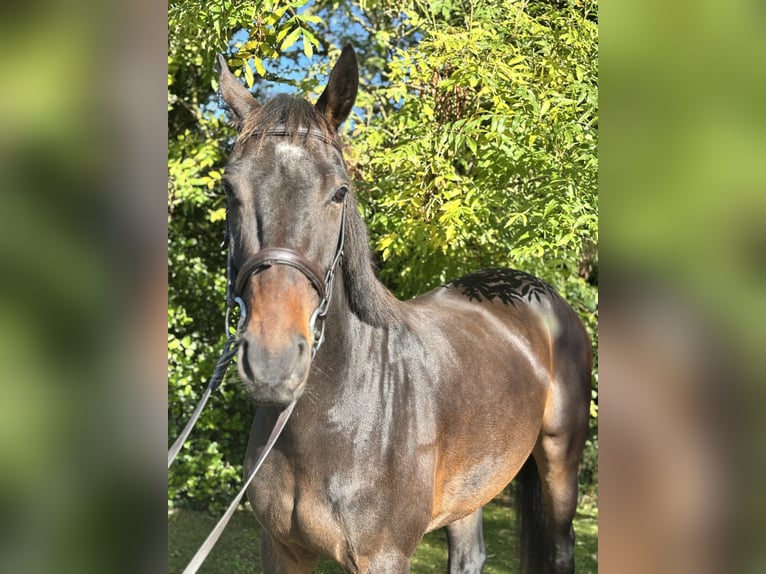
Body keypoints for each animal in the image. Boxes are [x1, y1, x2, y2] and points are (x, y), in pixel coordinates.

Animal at [216, 45, 591, 574]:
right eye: (230, 189)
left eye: (340, 192)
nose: (273, 362)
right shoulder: (281, 549)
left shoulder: (383, 557)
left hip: (560, 465)